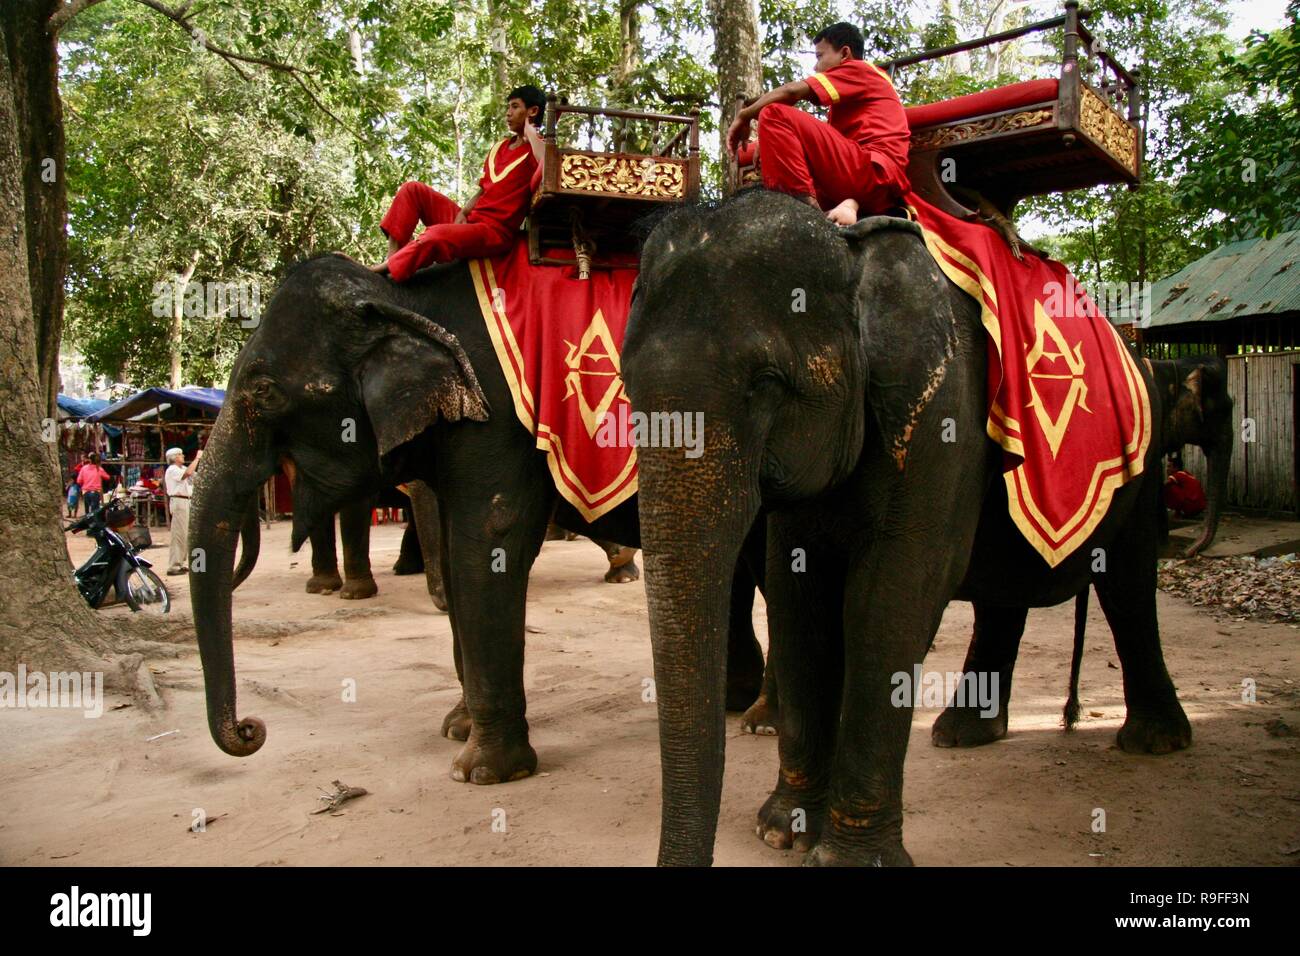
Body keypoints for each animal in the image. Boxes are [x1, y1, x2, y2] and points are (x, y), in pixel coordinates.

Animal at [190, 251, 768, 784]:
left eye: (264, 392)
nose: (251, 730)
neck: (400, 299)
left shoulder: (497, 420)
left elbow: (486, 548)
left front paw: (482, 772)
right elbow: (454, 555)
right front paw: (456, 728)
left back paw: (759, 720)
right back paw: (738, 704)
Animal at [620, 187, 1191, 866]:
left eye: (766, 385)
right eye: (626, 386)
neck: (853, 256)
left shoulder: (942, 409)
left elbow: (891, 595)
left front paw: (845, 858)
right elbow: (796, 597)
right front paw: (784, 829)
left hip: (1145, 461)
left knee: (1129, 582)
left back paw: (1156, 742)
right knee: (1007, 592)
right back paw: (964, 732)